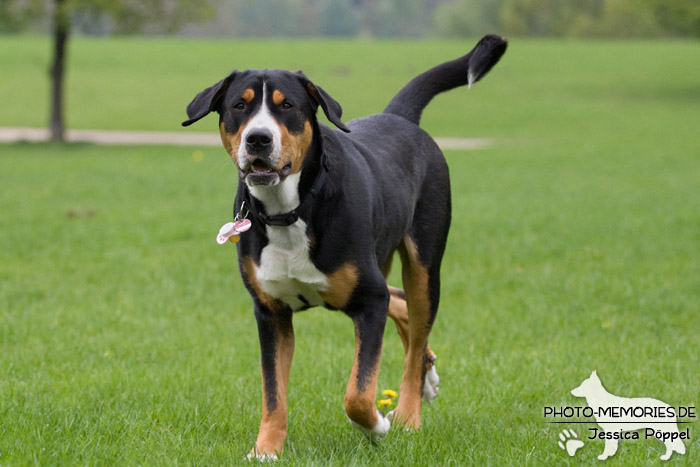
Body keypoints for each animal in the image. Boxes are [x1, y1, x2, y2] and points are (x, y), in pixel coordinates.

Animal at [183, 35, 506, 460]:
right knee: (402, 305)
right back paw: (429, 376)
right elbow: (273, 394)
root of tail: (398, 117)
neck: (291, 210)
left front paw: (377, 426)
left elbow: (358, 392)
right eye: (240, 105)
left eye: (287, 106)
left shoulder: (368, 302)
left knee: (415, 328)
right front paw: (266, 449)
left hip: (423, 265)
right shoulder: (270, 312)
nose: (258, 139)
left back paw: (409, 414)